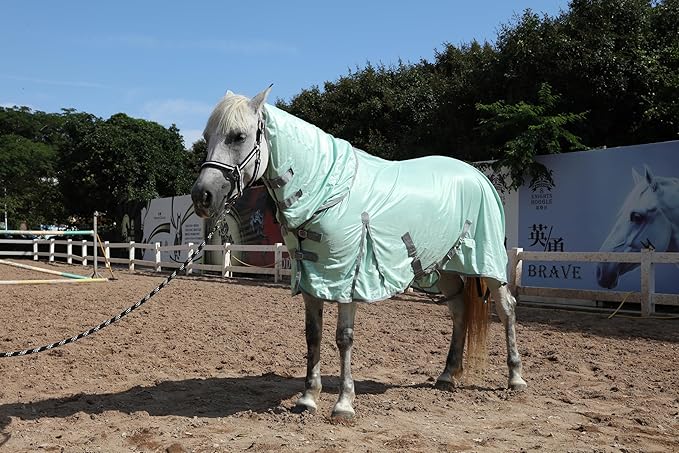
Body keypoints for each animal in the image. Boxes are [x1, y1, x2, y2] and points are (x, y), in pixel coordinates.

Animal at [191, 87, 526, 419]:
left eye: (238, 136)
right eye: (207, 136)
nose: (202, 196)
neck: (326, 191)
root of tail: (478, 176)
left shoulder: (347, 277)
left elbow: (344, 338)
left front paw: (343, 403)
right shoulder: (311, 277)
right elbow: (313, 335)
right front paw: (308, 398)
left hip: (488, 263)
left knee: (506, 308)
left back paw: (515, 378)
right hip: (443, 266)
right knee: (458, 310)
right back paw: (446, 376)